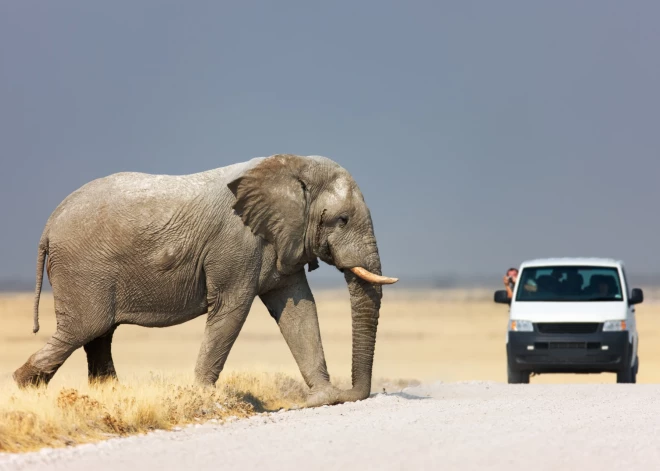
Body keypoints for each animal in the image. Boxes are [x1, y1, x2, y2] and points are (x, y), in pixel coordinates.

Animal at [12, 153, 398, 408]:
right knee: (84, 329)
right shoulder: (237, 244)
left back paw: (108, 394)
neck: (292, 166)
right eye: (342, 219)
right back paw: (23, 389)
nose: (352, 394)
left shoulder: (279, 240)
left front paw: (323, 400)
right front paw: (203, 396)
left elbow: (298, 310)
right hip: (82, 269)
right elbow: (232, 309)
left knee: (97, 335)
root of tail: (49, 227)